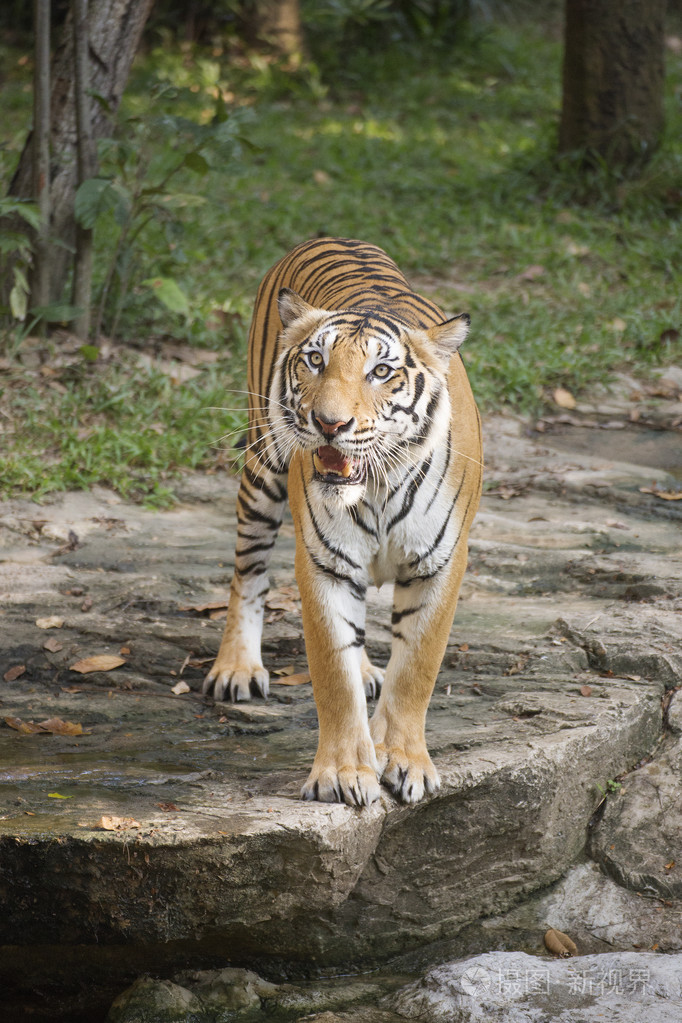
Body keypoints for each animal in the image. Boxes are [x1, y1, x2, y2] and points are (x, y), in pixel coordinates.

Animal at [204, 237, 482, 807]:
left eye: (381, 372)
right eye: (316, 361)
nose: (329, 423)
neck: (376, 488)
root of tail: (332, 237)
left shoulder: (440, 564)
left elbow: (416, 669)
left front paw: (402, 759)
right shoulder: (324, 564)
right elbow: (333, 674)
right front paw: (343, 773)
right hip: (262, 467)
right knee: (248, 571)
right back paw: (237, 668)